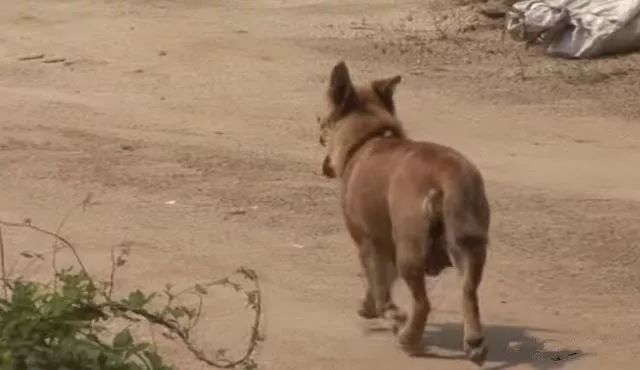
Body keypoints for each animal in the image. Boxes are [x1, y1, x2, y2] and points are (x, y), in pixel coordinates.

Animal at [316, 62, 490, 366]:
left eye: (323, 123)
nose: (319, 135)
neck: (369, 139)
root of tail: (446, 175)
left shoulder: (368, 242)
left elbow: (377, 281)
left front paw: (386, 312)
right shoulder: (383, 243)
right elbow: (380, 281)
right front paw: (374, 307)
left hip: (410, 250)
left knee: (422, 303)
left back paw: (408, 338)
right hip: (470, 247)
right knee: (469, 293)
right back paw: (474, 342)